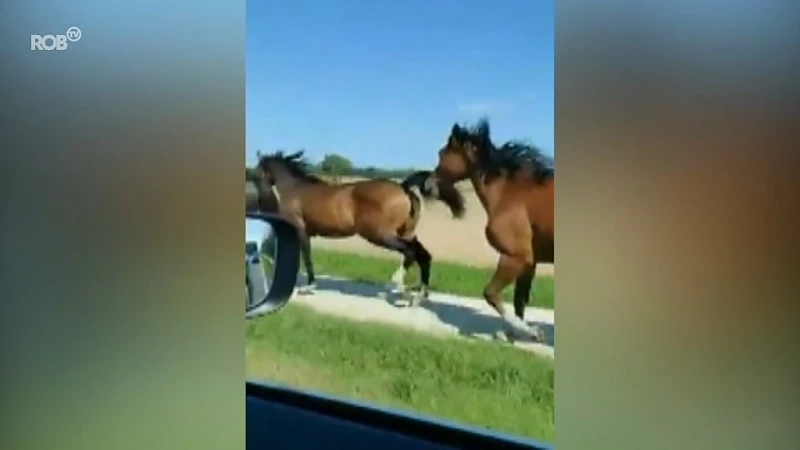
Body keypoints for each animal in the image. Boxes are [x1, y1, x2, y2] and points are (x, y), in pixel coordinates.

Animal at [247, 149, 466, 304]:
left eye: (258, 171)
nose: (259, 201)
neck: (295, 189)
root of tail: (403, 187)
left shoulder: (299, 230)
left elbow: (305, 256)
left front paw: (308, 286)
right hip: (406, 232)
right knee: (423, 255)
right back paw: (420, 294)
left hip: (380, 234)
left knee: (410, 252)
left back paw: (398, 287)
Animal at [434, 118, 552, 342]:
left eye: (441, 153)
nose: (431, 184)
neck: (510, 194)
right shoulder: (529, 262)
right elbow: (519, 300)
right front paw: (511, 334)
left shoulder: (514, 257)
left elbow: (491, 293)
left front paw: (530, 332)